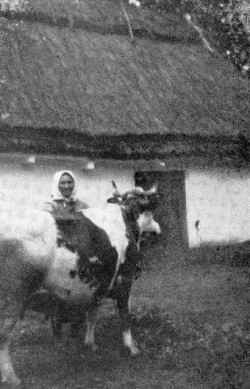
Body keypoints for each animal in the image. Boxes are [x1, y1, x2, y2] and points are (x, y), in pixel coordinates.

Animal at [0, 183, 160, 384]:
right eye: (150, 210)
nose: (157, 229)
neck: (126, 218)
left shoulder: (98, 286)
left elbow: (93, 314)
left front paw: (90, 344)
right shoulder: (125, 279)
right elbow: (125, 317)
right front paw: (132, 349)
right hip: (12, 299)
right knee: (3, 336)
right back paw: (12, 379)